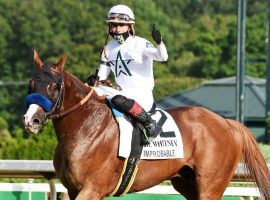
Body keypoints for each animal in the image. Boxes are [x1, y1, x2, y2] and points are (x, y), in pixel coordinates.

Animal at [22, 52, 270, 200]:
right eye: (31, 84)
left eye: (54, 87)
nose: (30, 120)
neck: (85, 126)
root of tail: (227, 122)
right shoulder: (73, 190)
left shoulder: (91, 189)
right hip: (187, 183)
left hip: (211, 184)